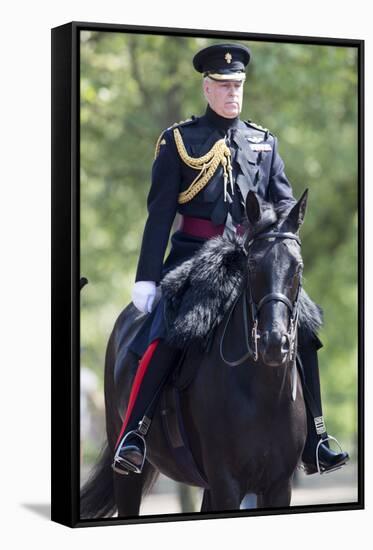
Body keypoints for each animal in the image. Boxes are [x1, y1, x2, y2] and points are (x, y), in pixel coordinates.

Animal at [81, 190, 314, 516]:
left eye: (298, 268)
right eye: (252, 265)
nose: (273, 343)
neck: (263, 394)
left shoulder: (278, 486)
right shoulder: (226, 482)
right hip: (126, 464)